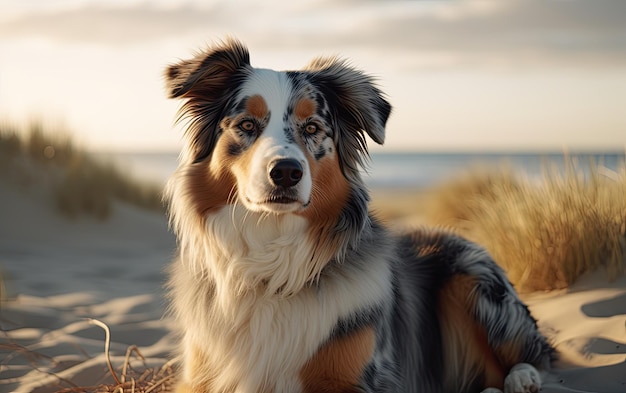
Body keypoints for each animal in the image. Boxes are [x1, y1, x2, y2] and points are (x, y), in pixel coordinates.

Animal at [162, 39, 552, 392]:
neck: (270, 268)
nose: (286, 172)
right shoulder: (198, 377)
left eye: (313, 128)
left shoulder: (357, 378)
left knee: (531, 355)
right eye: (246, 125)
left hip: (475, 278)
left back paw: (523, 378)